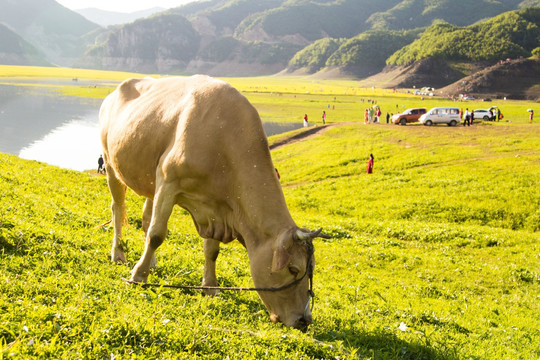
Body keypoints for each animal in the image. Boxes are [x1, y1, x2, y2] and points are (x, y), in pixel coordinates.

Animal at [99, 76, 332, 330]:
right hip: (111, 164)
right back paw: (118, 254)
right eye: (293, 268)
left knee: (145, 217)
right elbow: (157, 235)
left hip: (150, 181)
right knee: (118, 210)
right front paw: (138, 277)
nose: (304, 320)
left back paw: (151, 262)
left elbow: (212, 250)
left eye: (311, 268)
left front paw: (210, 287)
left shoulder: (214, 206)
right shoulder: (169, 181)